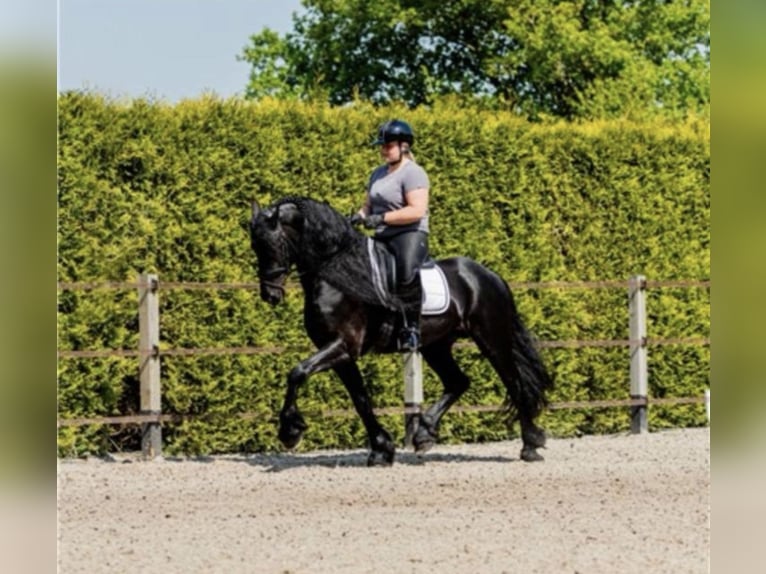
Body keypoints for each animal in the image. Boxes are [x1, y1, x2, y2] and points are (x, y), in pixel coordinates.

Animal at [249, 198, 556, 468]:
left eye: (273, 243)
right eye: (255, 246)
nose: (269, 295)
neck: (337, 275)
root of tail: (489, 276)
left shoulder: (342, 345)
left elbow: (297, 372)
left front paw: (290, 431)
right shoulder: (340, 353)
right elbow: (360, 399)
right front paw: (382, 449)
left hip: (492, 339)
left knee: (514, 383)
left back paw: (530, 446)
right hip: (436, 345)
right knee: (458, 382)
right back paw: (424, 434)